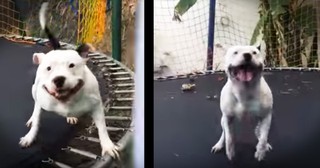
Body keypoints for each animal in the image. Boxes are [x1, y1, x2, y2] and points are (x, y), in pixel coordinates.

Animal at [18, 2, 119, 159]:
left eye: (72, 65)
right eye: (49, 68)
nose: (58, 79)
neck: (67, 101)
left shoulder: (96, 106)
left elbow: (102, 127)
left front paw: (108, 146)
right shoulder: (42, 101)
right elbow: (37, 121)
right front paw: (30, 136)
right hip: (34, 90)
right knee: (35, 107)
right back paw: (33, 118)